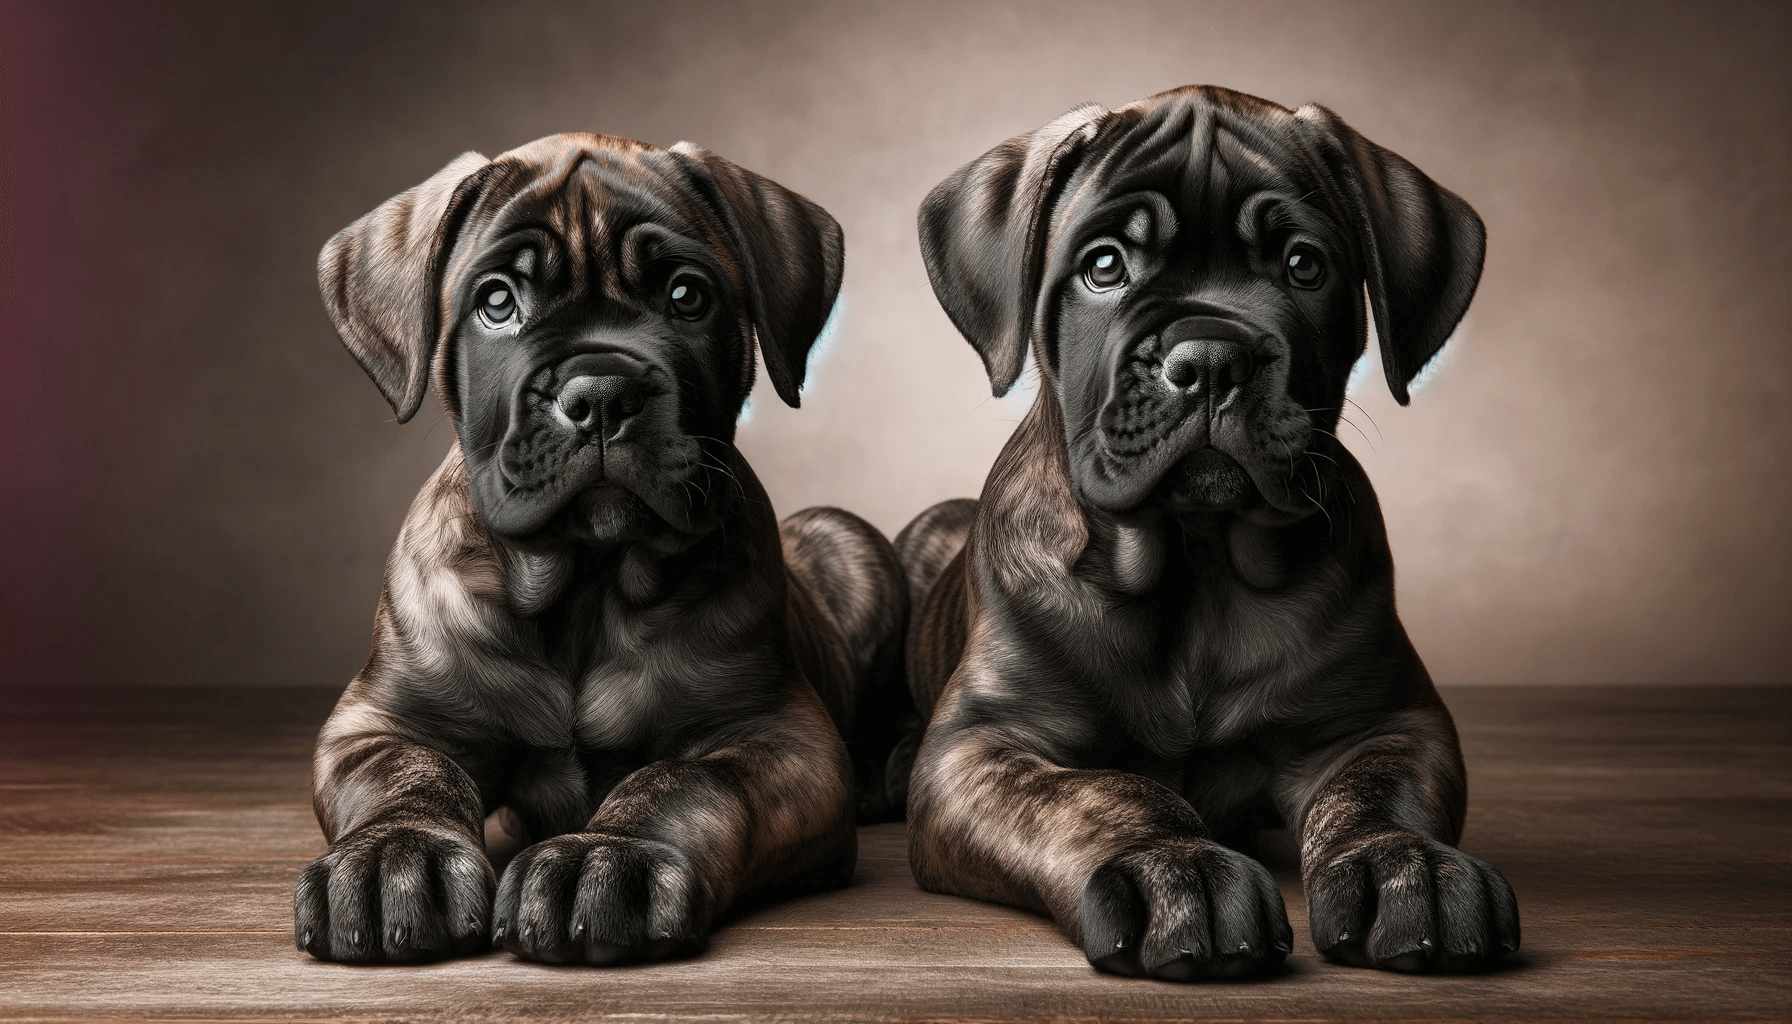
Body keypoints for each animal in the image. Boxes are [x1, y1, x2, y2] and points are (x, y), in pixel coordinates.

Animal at [301, 131, 910, 968]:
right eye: (497, 303)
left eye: (687, 296)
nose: (599, 393)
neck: (586, 586)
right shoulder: (379, 722)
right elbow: (405, 777)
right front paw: (392, 855)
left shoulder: (781, 739)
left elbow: (681, 783)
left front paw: (605, 855)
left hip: (850, 539)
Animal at [903, 84, 1519, 982]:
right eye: (1104, 267)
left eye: (1304, 266)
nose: (1211, 358)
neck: (1196, 564)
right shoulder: (981, 746)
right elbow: (1101, 794)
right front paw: (1176, 869)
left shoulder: (1388, 722)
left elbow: (1374, 794)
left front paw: (1407, 867)